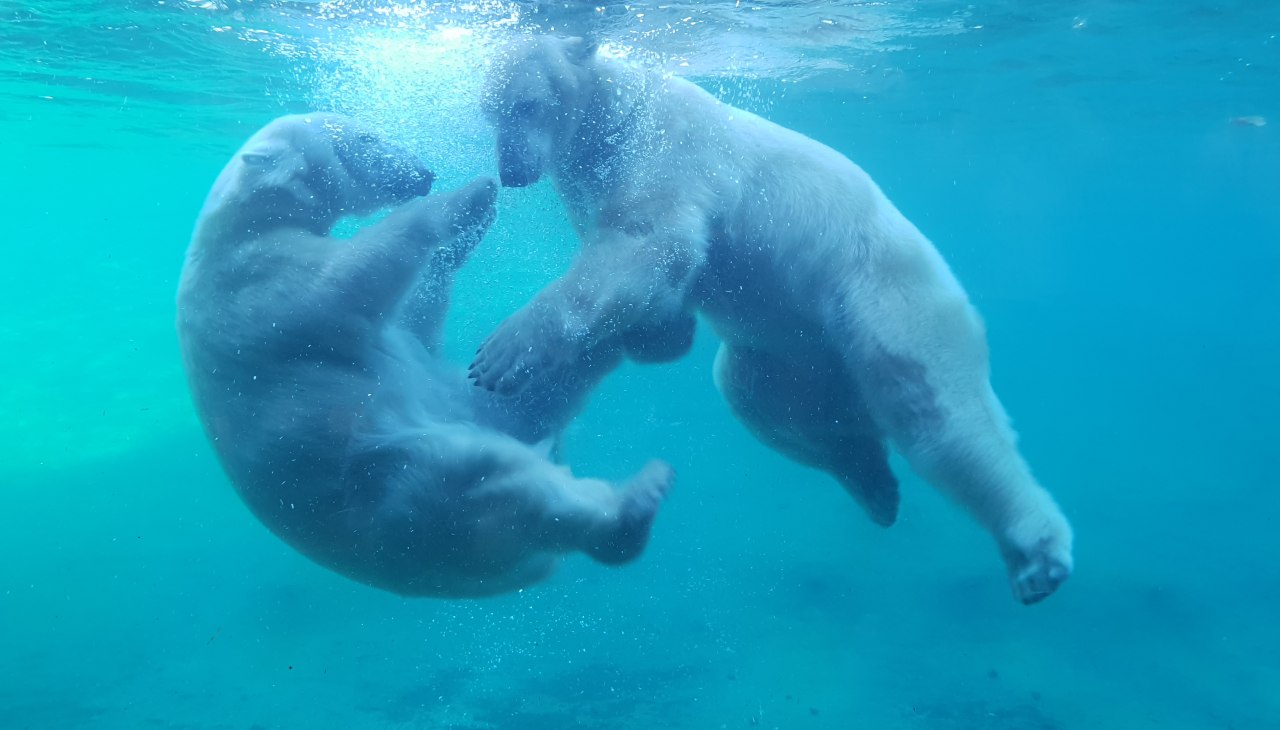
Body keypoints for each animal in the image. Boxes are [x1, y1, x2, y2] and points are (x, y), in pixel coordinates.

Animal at [176, 112, 673, 598]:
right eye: (365, 137)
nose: (423, 172)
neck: (240, 224)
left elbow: (415, 324)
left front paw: (472, 226)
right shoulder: (259, 282)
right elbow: (351, 274)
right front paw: (470, 195)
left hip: (468, 411)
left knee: (534, 399)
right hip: (403, 492)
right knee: (501, 484)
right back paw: (635, 504)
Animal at [469, 36, 1073, 604]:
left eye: (527, 104)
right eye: (490, 113)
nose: (511, 171)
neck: (615, 114)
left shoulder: (662, 152)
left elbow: (650, 243)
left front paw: (502, 355)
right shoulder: (586, 184)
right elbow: (656, 288)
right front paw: (660, 333)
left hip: (883, 296)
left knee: (940, 416)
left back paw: (1036, 555)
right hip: (792, 355)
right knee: (762, 401)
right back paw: (873, 483)